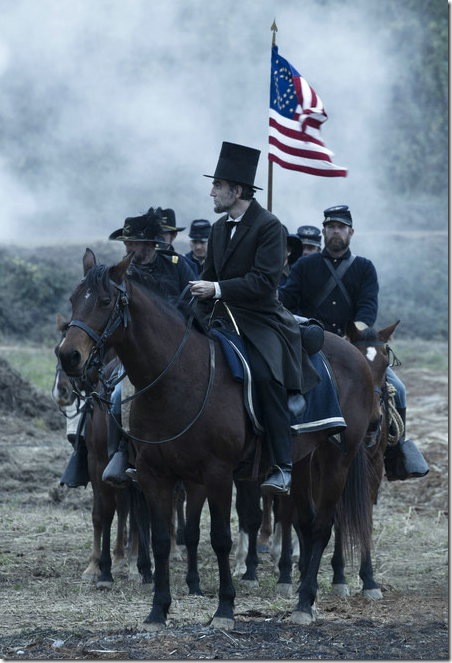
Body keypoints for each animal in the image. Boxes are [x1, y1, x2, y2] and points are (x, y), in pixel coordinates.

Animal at [59, 252, 378, 632]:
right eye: (74, 299)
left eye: (106, 301)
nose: (68, 356)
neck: (178, 374)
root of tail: (353, 354)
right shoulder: (155, 476)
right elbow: (162, 539)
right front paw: (157, 611)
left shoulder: (217, 474)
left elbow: (220, 538)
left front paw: (224, 608)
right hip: (303, 461)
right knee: (305, 520)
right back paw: (302, 592)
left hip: (336, 460)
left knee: (323, 526)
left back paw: (305, 602)